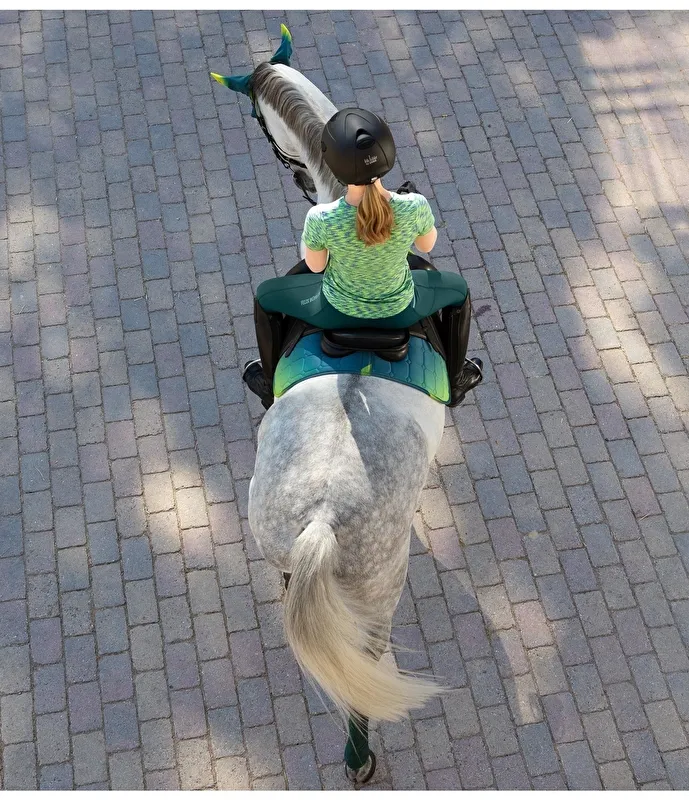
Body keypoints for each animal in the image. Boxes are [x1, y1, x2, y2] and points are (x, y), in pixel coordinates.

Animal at [212, 25, 451, 784]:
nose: (289, 170)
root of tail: (320, 514)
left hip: (287, 557)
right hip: (376, 588)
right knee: (361, 668)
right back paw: (359, 755)